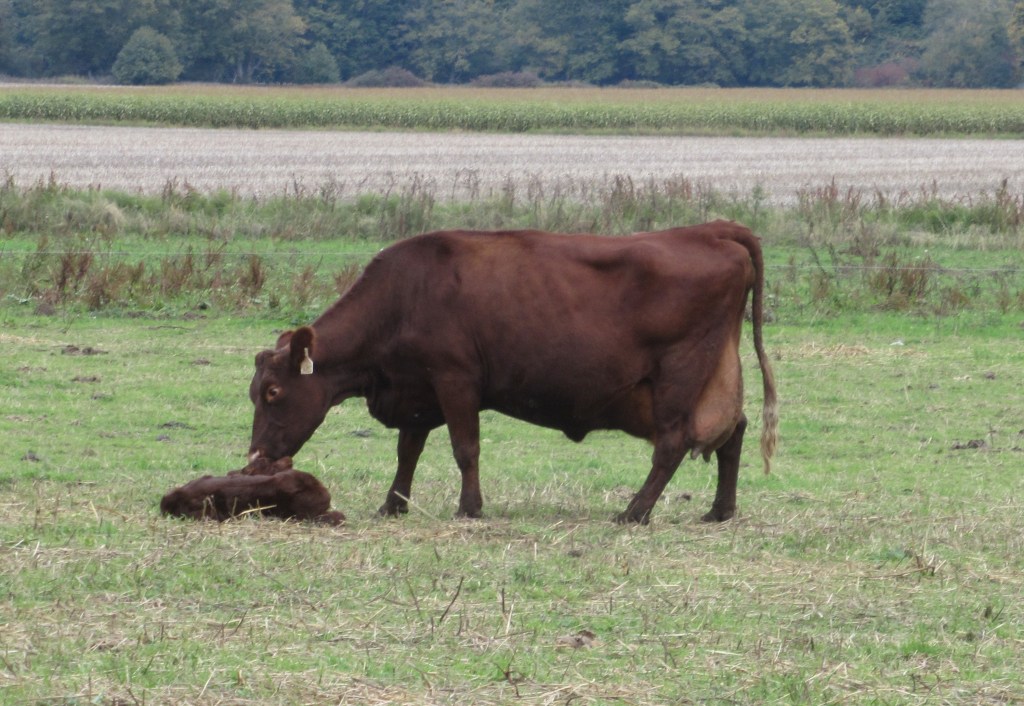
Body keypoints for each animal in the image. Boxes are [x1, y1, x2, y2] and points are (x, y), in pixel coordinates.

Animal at [248, 221, 778, 524]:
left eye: (273, 392)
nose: (255, 461)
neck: (404, 297)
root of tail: (710, 229)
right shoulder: (417, 390)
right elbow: (407, 452)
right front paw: (392, 505)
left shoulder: (455, 378)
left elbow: (465, 448)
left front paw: (469, 508)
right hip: (713, 378)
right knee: (733, 431)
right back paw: (719, 510)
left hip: (679, 376)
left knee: (672, 444)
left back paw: (634, 512)